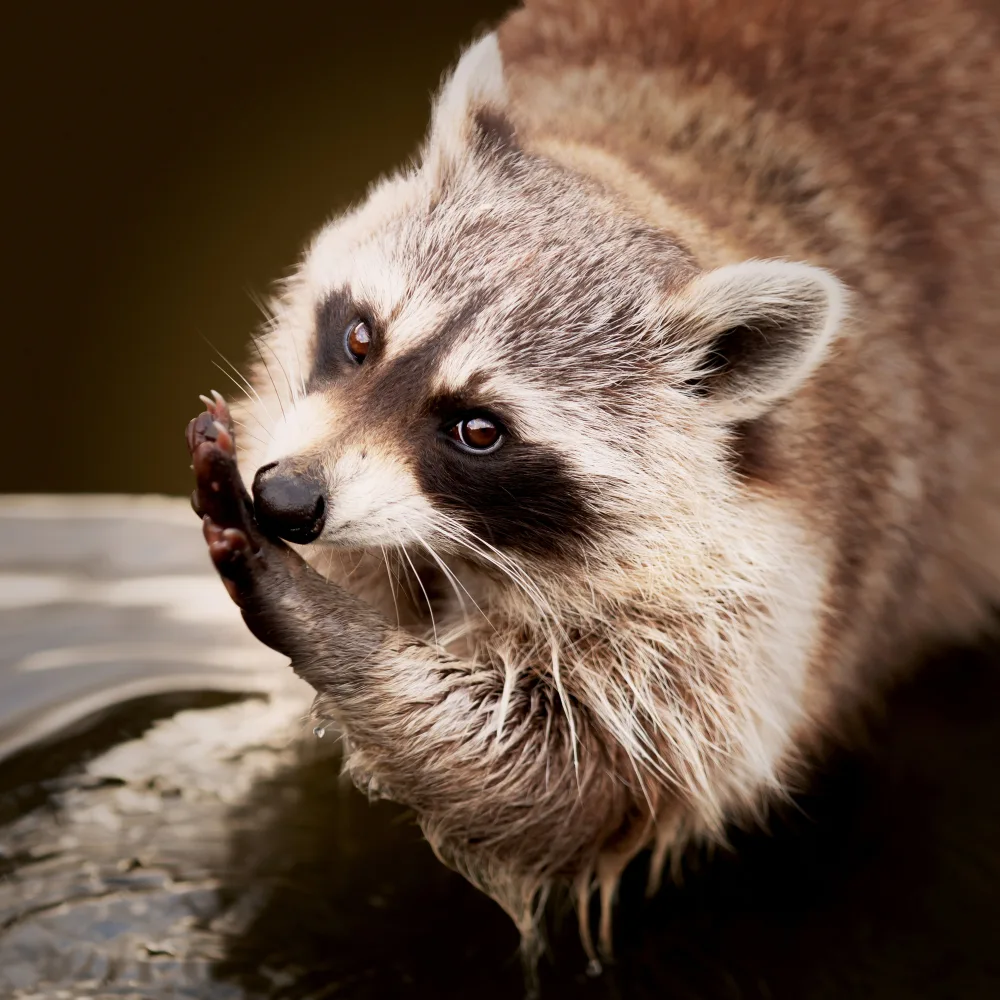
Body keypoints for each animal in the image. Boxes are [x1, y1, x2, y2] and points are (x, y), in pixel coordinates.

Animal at [188, 0, 1000, 968]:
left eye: (479, 430)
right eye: (359, 338)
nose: (286, 501)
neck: (661, 184)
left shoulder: (786, 575)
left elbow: (582, 775)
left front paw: (329, 627)